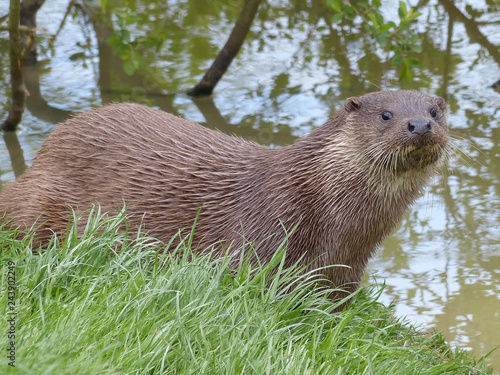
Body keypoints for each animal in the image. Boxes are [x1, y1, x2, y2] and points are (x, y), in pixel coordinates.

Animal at [0, 90, 450, 300]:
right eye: (387, 114)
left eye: (434, 112)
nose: (419, 125)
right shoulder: (260, 240)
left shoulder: (347, 271)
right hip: (40, 201)